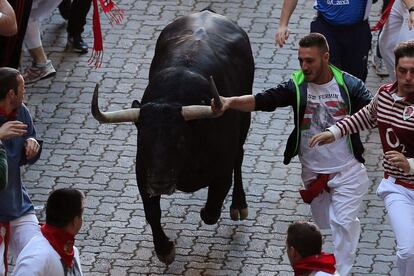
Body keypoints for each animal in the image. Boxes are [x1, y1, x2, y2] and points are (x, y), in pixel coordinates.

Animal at [92, 10, 254, 264]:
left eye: (180, 140)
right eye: (142, 140)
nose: (160, 182)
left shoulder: (222, 172)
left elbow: (211, 210)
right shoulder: (143, 174)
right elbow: (152, 212)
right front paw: (164, 249)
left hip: (244, 119)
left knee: (240, 155)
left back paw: (239, 203)